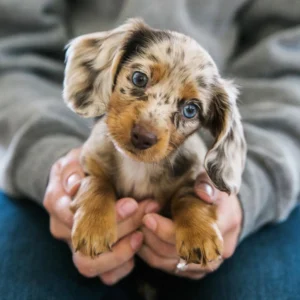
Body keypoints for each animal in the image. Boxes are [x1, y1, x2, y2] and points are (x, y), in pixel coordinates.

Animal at [62, 18, 246, 268]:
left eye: (190, 110)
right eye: (139, 78)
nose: (143, 137)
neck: (138, 166)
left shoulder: (190, 179)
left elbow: (189, 198)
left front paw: (200, 234)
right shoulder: (91, 163)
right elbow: (96, 184)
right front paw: (94, 226)